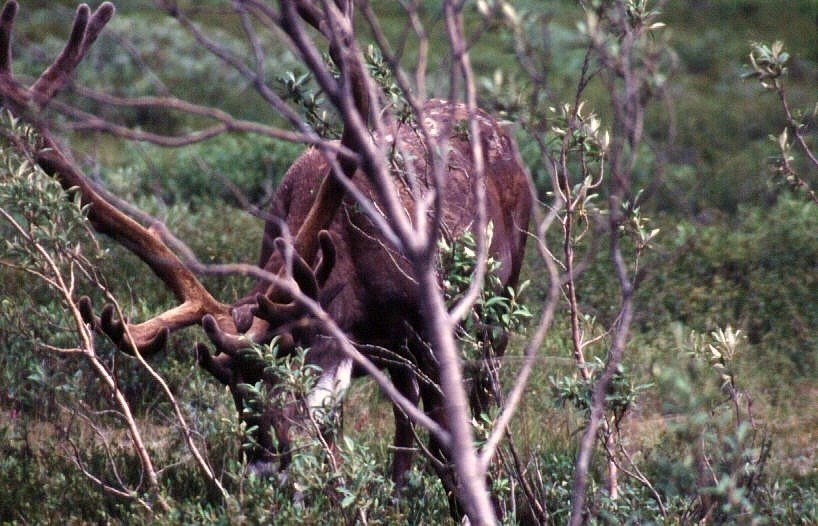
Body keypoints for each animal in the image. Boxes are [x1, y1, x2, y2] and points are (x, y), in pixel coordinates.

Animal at [0, 0, 528, 520]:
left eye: (285, 358)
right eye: (226, 382)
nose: (262, 470)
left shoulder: (425, 337)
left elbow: (449, 454)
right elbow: (338, 459)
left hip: (498, 303)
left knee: (481, 397)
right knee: (404, 419)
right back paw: (400, 491)